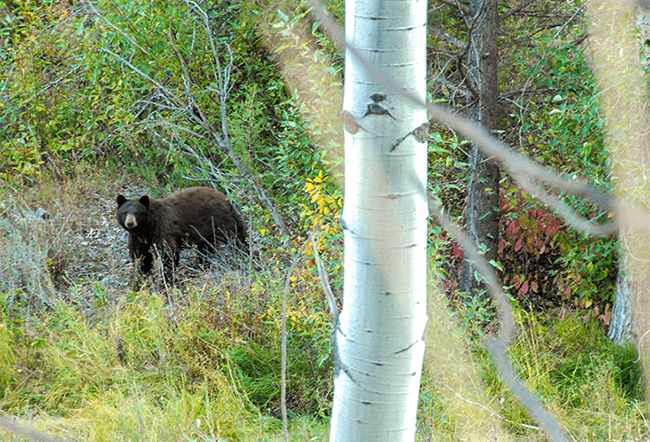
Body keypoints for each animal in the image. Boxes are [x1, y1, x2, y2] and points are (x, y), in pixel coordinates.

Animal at [115, 186, 247, 284]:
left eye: (137, 212)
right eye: (125, 212)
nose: (130, 223)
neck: (146, 228)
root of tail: (226, 198)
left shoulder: (162, 229)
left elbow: (168, 253)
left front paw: (167, 279)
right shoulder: (138, 239)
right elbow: (140, 256)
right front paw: (140, 278)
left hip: (220, 222)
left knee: (236, 237)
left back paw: (245, 255)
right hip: (207, 232)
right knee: (206, 248)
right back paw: (199, 266)